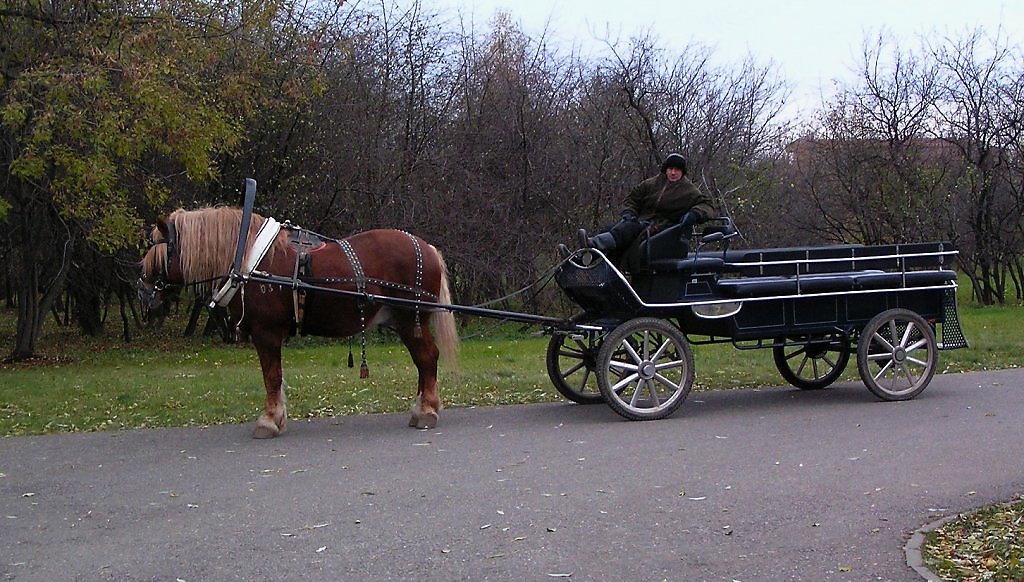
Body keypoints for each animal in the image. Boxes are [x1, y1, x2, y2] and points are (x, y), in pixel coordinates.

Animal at [138, 206, 458, 438]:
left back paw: (426, 412)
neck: (251, 261)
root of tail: (427, 248)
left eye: (160, 248)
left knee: (427, 359)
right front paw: (277, 418)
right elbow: (275, 377)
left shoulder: (265, 332)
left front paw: (269, 421)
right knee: (423, 362)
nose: (142, 290)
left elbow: (271, 376)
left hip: (410, 320)